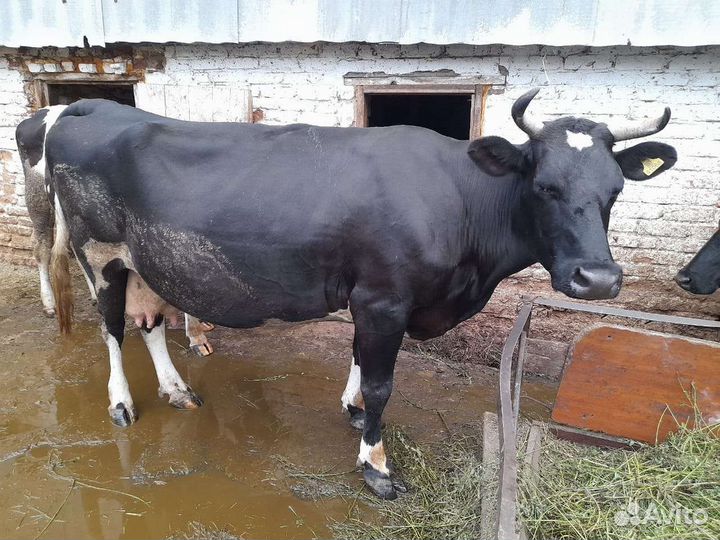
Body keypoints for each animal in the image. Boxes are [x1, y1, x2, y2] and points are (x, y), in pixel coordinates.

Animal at [15, 106, 215, 356]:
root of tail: (43, 112)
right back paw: (49, 303)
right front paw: (196, 336)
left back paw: (93, 295)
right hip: (37, 197)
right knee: (42, 248)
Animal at [44, 89, 676, 499]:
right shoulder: (383, 298)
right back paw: (121, 403)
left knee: (149, 323)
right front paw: (375, 463)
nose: (598, 279)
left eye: (615, 190)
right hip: (99, 255)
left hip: (146, 262)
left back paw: (177, 391)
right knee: (112, 328)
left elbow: (357, 360)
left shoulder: (371, 297)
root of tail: (88, 105)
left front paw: (351, 411)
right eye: (544, 186)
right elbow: (381, 383)